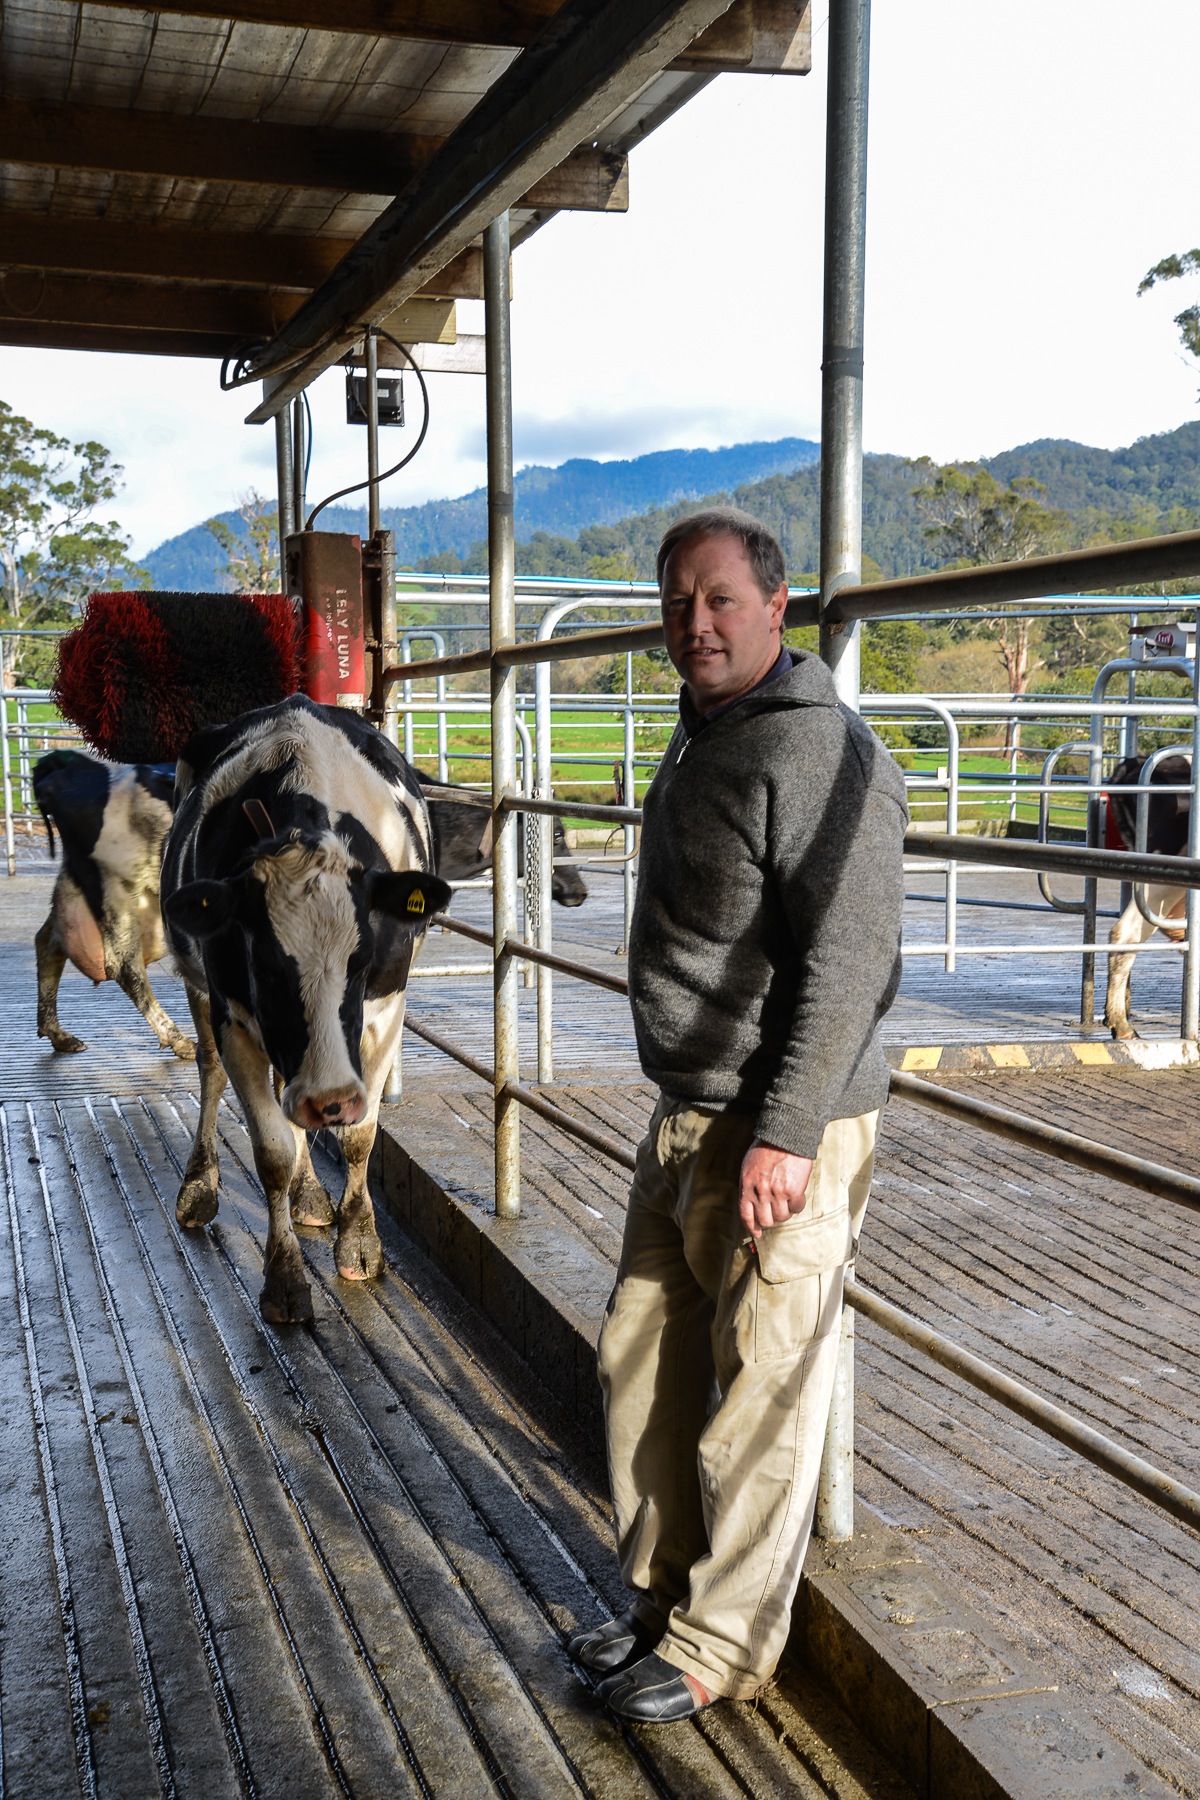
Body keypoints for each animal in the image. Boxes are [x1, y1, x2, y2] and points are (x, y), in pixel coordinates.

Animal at [32, 741, 193, 1051]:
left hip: (77, 880)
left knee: (48, 942)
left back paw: (58, 1034)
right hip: (114, 883)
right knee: (124, 965)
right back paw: (178, 1039)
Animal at [161, 694, 453, 1332]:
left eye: (362, 960)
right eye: (266, 965)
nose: (329, 1099)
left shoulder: (386, 1009)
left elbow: (360, 1138)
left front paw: (359, 1241)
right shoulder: (235, 1016)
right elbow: (271, 1150)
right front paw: (285, 1278)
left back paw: (310, 1193)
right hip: (199, 990)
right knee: (211, 1073)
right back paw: (199, 1186)